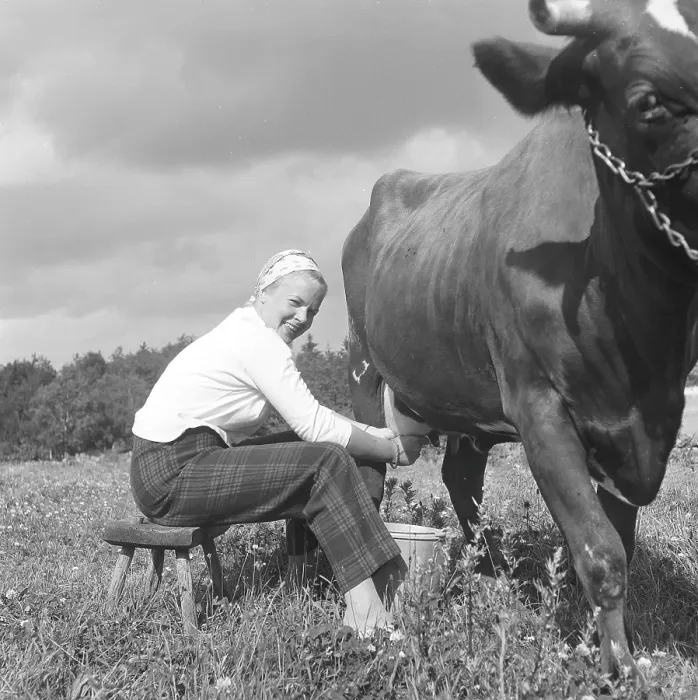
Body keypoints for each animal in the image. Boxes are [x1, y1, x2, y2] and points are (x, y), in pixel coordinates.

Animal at [342, 0, 698, 682]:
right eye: (649, 101)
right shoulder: (538, 405)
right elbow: (601, 552)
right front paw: (618, 671)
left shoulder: (642, 426)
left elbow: (617, 542)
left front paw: (602, 645)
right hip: (365, 372)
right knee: (370, 475)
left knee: (461, 477)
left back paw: (489, 573)